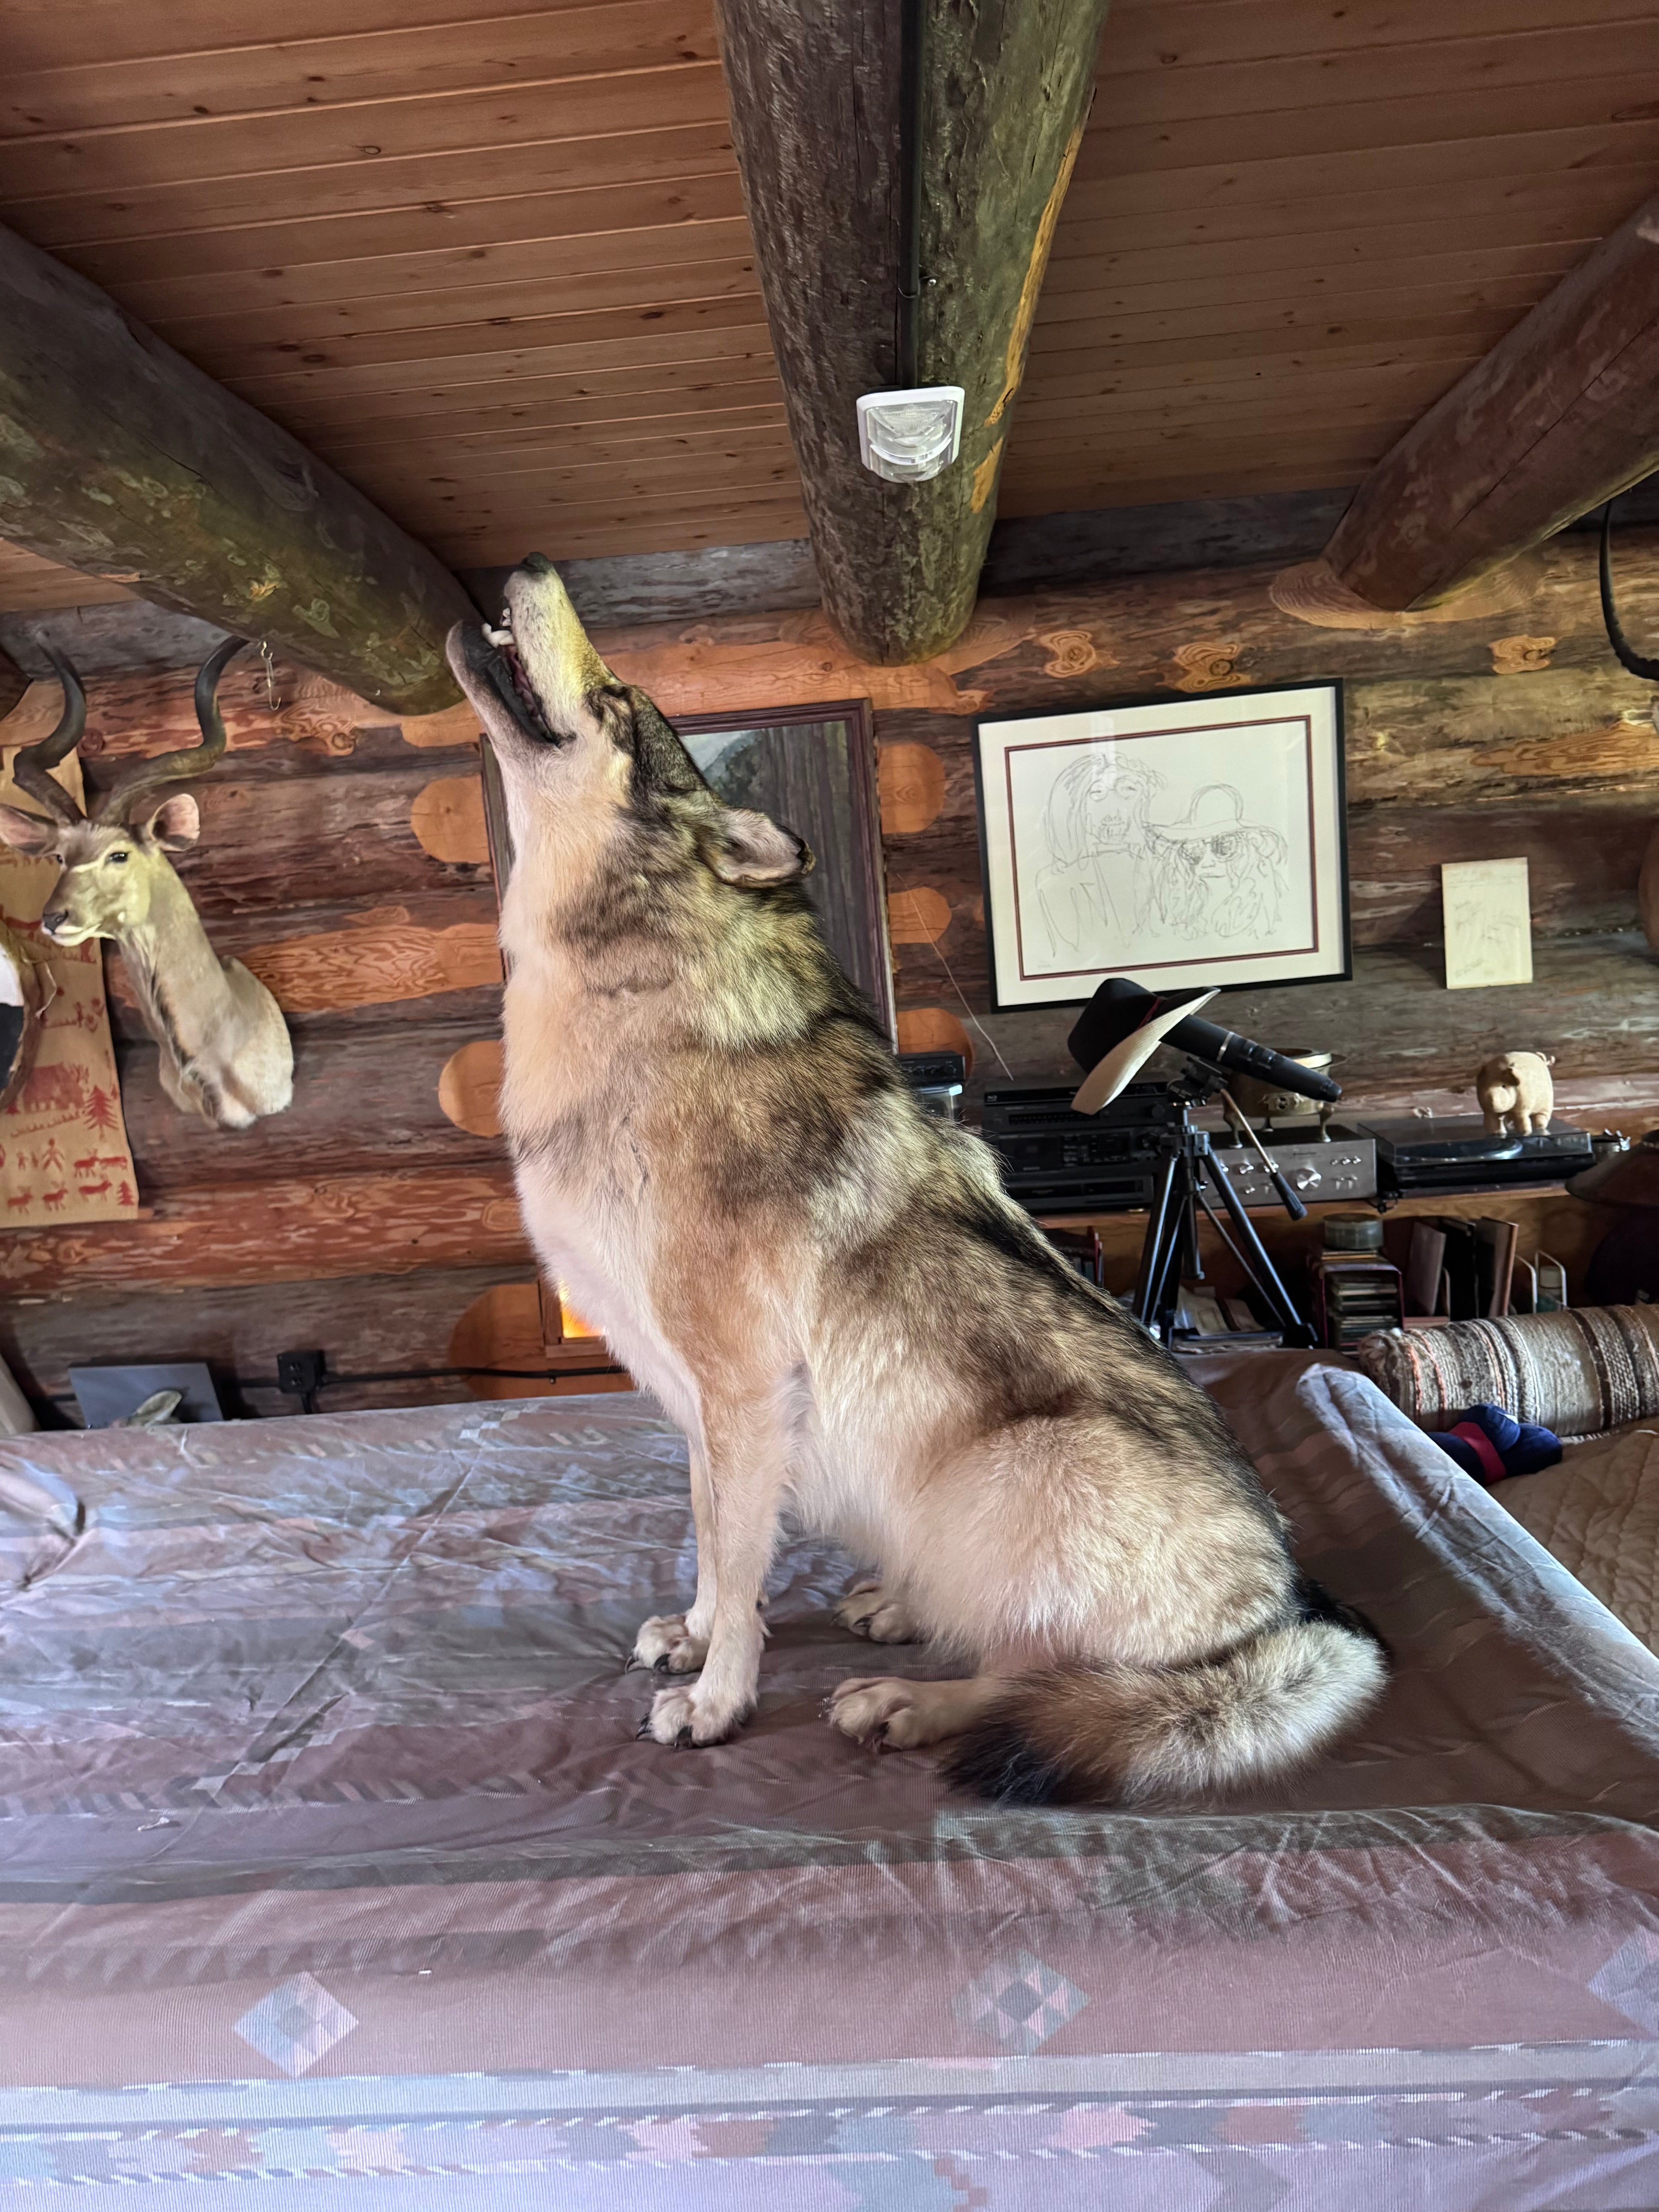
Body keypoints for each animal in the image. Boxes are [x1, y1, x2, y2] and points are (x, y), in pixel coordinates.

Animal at [446, 559, 1386, 1804]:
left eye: (616, 702)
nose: (533, 569)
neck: (628, 1001)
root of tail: (1291, 1621)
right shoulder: (694, 1404)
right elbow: (710, 1545)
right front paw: (693, 1639)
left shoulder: (743, 1390)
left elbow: (737, 1565)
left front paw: (716, 1702)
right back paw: (894, 1609)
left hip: (1014, 1473)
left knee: (1037, 1681)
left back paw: (904, 1699)